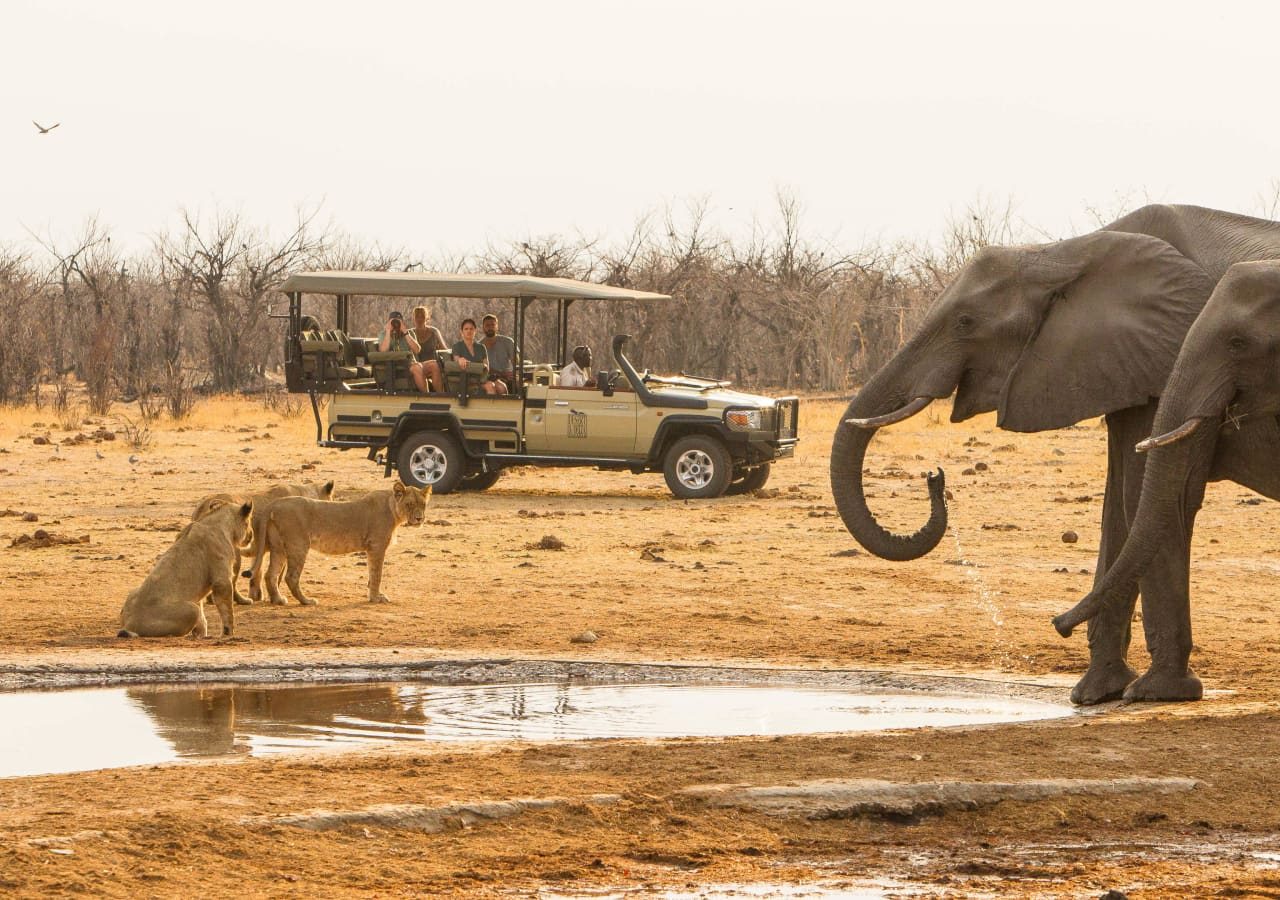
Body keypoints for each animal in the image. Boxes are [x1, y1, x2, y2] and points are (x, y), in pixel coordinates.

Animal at [120, 499, 256, 640]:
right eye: (249, 521)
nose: (251, 535)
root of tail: (129, 624)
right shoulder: (222, 581)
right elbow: (227, 610)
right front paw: (228, 633)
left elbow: (203, 617)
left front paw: (202, 634)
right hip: (191, 609)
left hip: (133, 592)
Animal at [192, 478, 335, 604]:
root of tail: (202, 506)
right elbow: (277, 574)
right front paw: (274, 597)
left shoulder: (260, 548)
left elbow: (257, 572)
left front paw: (257, 595)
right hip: (234, 553)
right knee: (232, 580)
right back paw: (243, 600)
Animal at [257, 478, 432, 604]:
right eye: (409, 504)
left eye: (423, 504)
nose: (419, 518)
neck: (393, 509)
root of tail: (273, 504)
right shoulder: (376, 546)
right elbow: (377, 574)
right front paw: (376, 598)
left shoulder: (371, 549)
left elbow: (371, 574)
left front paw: (373, 595)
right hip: (299, 545)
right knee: (291, 577)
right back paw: (307, 601)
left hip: (279, 548)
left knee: (270, 574)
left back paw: (278, 600)